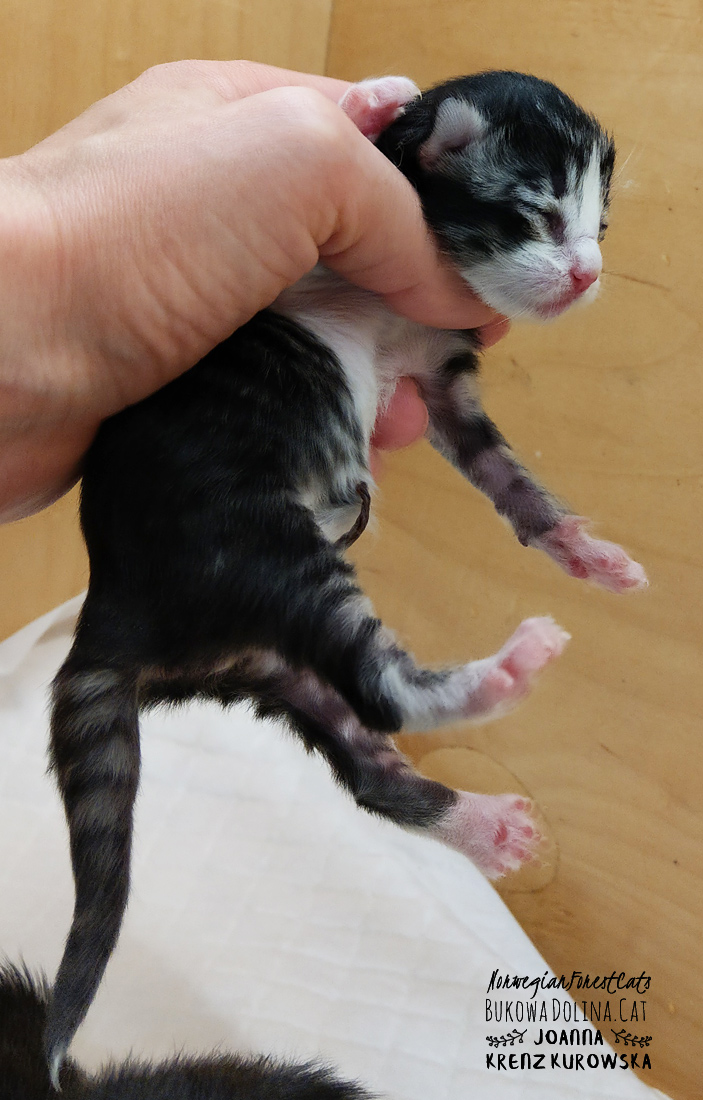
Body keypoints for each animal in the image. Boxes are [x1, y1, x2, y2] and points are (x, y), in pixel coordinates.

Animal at [44, 72, 647, 1080]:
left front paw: (583, 551)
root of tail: (113, 609)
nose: (585, 276)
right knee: (382, 689)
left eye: (599, 227)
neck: (400, 310)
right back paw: (508, 671)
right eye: (535, 214)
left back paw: (484, 825)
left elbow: (511, 485)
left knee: (365, 760)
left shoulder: (442, 383)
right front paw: (369, 98)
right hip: (265, 548)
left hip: (267, 661)